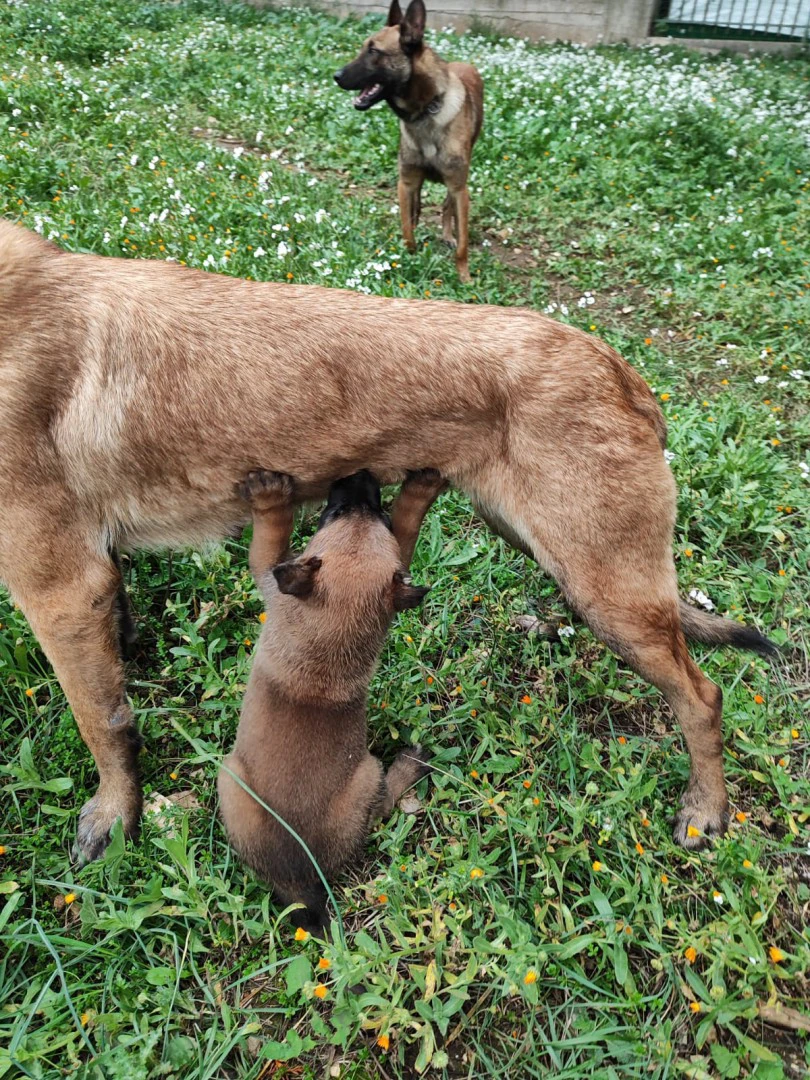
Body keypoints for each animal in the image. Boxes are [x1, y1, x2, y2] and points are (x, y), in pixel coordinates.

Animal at [0, 219, 781, 859]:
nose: (355, 483)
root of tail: (618, 369)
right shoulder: (95, 583)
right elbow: (118, 678)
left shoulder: (61, 592)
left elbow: (102, 722)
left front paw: (114, 815)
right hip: (554, 554)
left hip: (609, 593)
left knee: (702, 696)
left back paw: (706, 809)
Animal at [219, 468, 444, 933]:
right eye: (342, 511)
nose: (361, 475)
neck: (325, 651)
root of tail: (303, 882)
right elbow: (407, 536)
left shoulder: (270, 573)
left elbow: (269, 537)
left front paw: (269, 498)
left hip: (354, 774)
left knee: (383, 807)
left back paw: (409, 766)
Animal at [334, 0, 486, 282]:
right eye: (363, 47)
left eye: (374, 51)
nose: (336, 76)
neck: (426, 111)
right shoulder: (406, 183)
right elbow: (408, 230)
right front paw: (409, 259)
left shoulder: (459, 188)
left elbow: (462, 244)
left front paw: (464, 277)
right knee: (417, 211)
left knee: (447, 207)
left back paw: (447, 235)